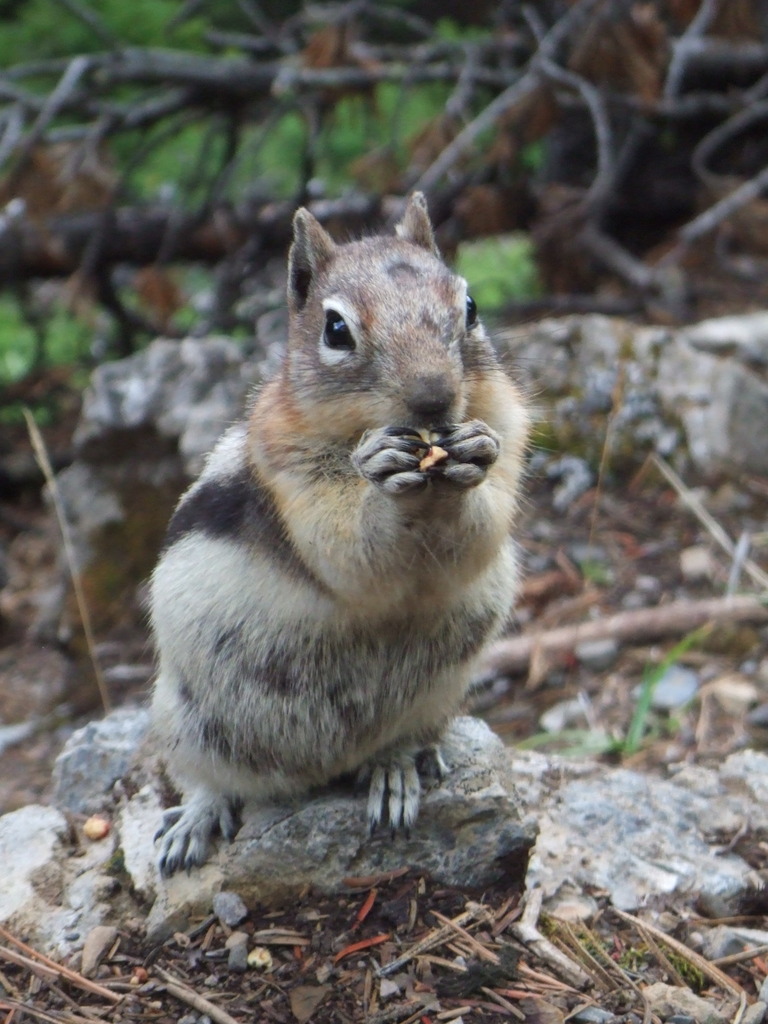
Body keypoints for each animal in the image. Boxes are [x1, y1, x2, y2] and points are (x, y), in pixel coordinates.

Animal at [153, 195, 532, 876]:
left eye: (470, 307)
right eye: (335, 330)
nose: (434, 399)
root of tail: (322, 769)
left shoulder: (510, 431)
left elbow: (477, 534)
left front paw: (469, 457)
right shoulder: (291, 474)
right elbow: (347, 552)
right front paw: (381, 483)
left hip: (439, 693)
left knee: (397, 740)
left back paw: (394, 771)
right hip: (185, 719)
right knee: (206, 779)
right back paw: (194, 822)